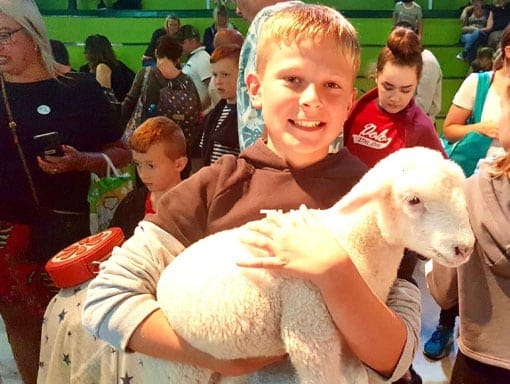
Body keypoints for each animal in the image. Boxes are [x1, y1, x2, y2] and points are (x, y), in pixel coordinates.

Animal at [155, 146, 474, 382]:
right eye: (413, 200)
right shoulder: (310, 331)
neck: (349, 244)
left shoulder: (349, 346)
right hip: (182, 365)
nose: (464, 247)